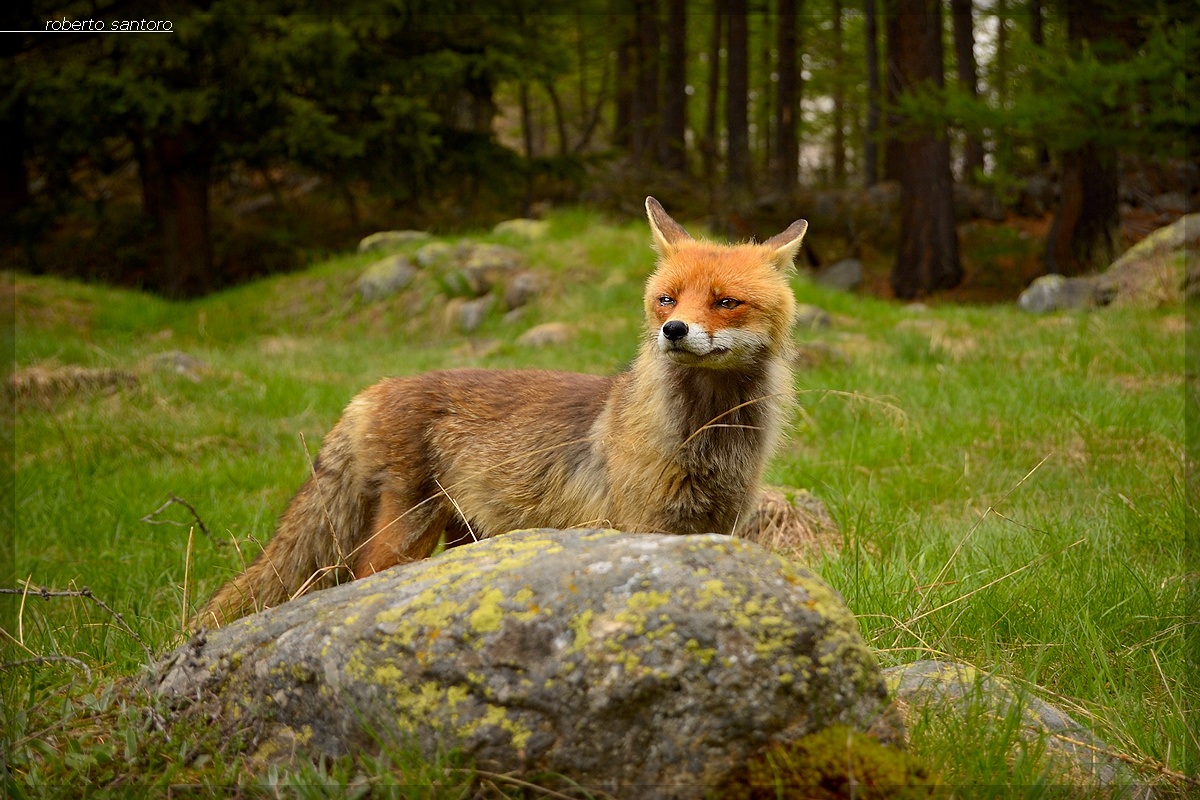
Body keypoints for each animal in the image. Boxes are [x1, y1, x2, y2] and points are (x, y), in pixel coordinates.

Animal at [195, 198, 807, 628]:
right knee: (361, 579)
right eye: (667, 299)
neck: (708, 437)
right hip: (405, 533)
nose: (674, 330)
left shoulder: (716, 529)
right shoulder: (639, 529)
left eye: (726, 302)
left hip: (466, 538)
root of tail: (374, 389)